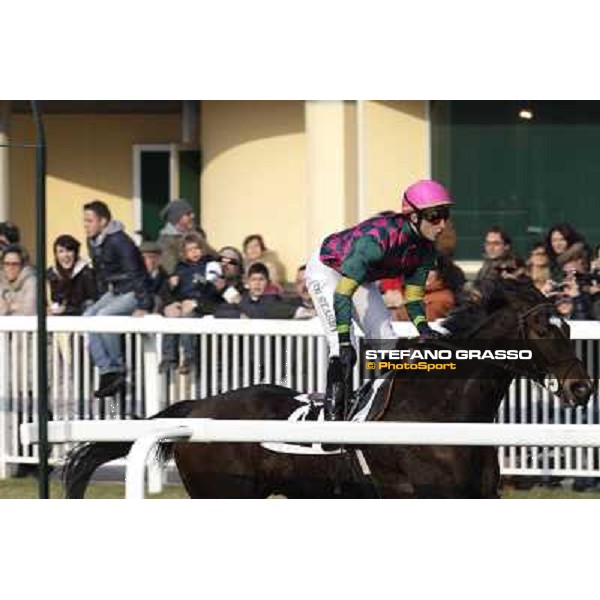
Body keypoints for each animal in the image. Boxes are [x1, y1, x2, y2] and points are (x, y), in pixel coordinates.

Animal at [63, 278, 592, 500]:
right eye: (542, 329)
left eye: (568, 326)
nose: (582, 387)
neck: (441, 413)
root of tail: (199, 408)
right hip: (224, 493)